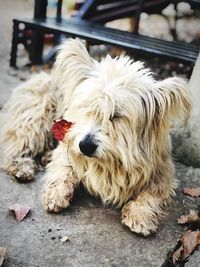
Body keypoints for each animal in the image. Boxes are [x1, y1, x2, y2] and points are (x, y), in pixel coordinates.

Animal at [0, 38, 191, 237]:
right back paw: (21, 166)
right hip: (36, 118)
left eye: (116, 115)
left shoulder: (162, 169)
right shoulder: (68, 147)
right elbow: (63, 170)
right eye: (87, 108)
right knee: (16, 145)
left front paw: (140, 215)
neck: (111, 162)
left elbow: (152, 192)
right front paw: (56, 194)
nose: (85, 146)